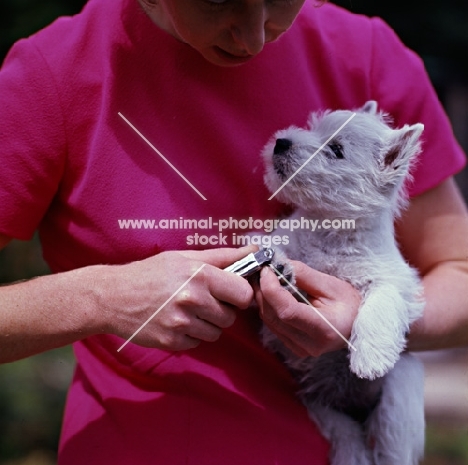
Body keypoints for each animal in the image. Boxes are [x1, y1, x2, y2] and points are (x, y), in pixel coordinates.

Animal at [262, 102, 426, 464]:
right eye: (312, 128)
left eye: (336, 150)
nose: (282, 142)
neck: (330, 229)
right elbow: (266, 249)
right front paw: (280, 267)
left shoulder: (397, 283)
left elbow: (381, 301)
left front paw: (369, 358)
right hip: (319, 407)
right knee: (348, 437)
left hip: (399, 396)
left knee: (389, 448)